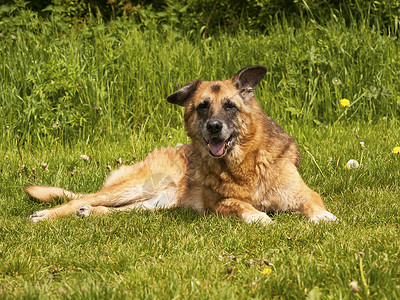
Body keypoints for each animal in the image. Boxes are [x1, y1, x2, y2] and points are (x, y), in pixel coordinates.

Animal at [25, 66, 338, 225]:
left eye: (230, 106)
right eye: (202, 107)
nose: (214, 127)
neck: (244, 163)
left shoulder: (302, 192)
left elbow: (314, 201)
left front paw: (323, 216)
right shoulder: (216, 204)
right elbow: (238, 203)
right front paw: (257, 216)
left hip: (154, 203)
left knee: (114, 209)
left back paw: (90, 213)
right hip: (136, 187)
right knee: (81, 198)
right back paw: (48, 215)